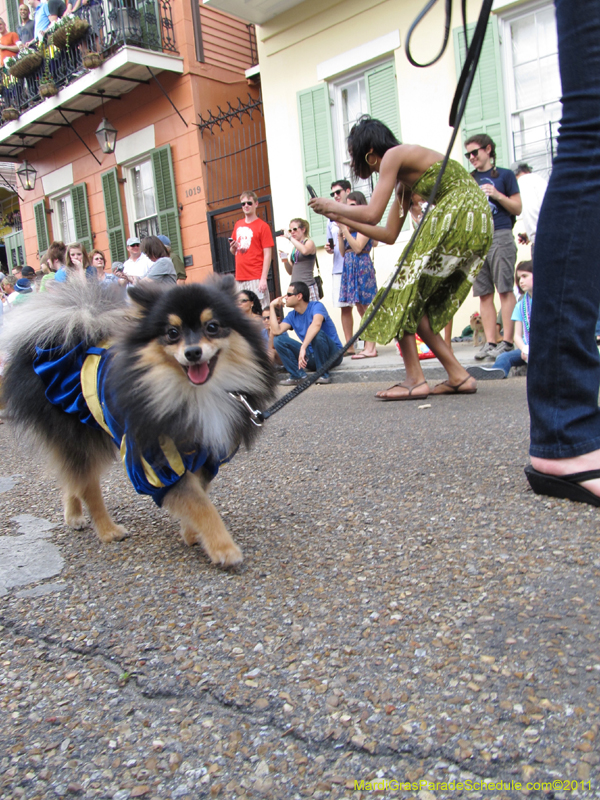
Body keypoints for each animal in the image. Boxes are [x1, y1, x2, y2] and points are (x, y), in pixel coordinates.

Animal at [0, 278, 276, 564]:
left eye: (212, 327)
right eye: (172, 332)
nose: (192, 352)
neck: (192, 394)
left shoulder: (205, 455)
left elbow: (198, 494)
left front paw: (191, 534)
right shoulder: (156, 461)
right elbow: (201, 505)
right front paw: (223, 548)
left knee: (72, 476)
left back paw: (74, 515)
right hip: (79, 434)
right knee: (87, 484)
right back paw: (107, 530)